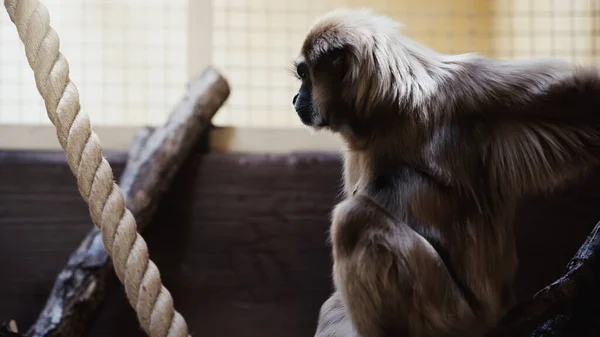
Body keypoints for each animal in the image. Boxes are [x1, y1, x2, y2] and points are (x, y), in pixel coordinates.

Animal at [290, 7, 600, 336]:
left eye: (304, 76)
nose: (296, 98)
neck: (392, 111)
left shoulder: (466, 86)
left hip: (452, 314)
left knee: (355, 219)